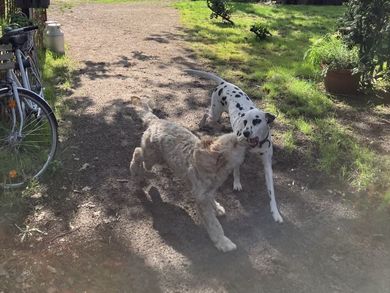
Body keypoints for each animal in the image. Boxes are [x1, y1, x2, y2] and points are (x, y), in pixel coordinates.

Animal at [131, 96, 247, 251]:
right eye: (235, 143)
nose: (246, 135)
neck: (214, 166)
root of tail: (156, 121)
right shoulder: (201, 197)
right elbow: (213, 223)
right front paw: (223, 242)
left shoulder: (208, 191)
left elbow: (212, 199)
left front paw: (216, 208)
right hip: (151, 156)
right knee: (138, 152)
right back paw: (135, 171)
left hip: (157, 157)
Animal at [186, 69, 284, 222]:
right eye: (244, 122)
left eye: (257, 121)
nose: (246, 133)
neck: (255, 144)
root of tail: (224, 83)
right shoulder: (237, 154)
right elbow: (236, 171)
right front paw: (237, 183)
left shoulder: (267, 165)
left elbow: (271, 191)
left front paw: (275, 212)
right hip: (215, 112)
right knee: (206, 113)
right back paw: (202, 123)